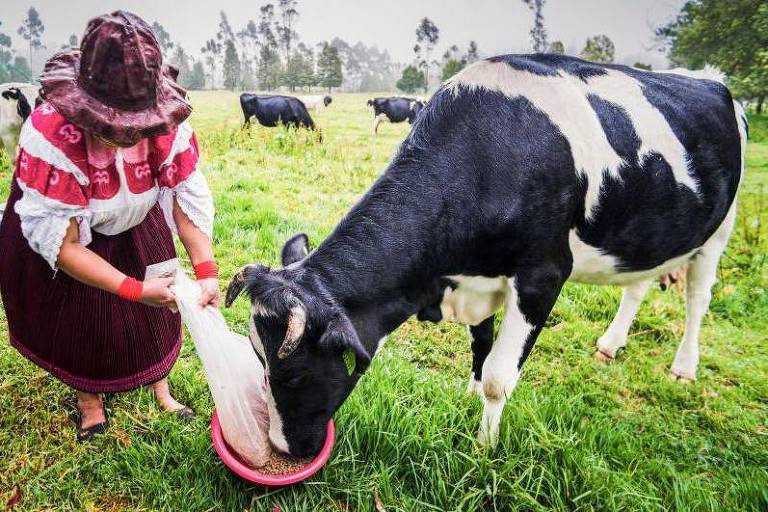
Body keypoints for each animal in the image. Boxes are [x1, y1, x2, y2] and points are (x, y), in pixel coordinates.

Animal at [225, 55, 748, 456]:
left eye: (294, 375)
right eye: (257, 358)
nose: (283, 449)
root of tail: (712, 80)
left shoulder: (542, 276)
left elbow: (499, 375)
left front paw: (484, 448)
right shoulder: (475, 278)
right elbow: (480, 346)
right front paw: (469, 394)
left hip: (718, 232)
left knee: (698, 301)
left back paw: (684, 368)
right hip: (649, 235)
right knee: (637, 285)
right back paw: (611, 342)